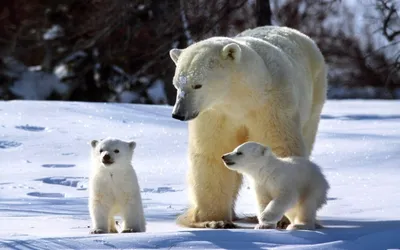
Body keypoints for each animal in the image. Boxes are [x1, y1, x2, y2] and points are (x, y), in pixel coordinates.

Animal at [169, 25, 328, 229]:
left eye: (197, 85)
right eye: (177, 84)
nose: (178, 114)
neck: (241, 98)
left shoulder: (270, 106)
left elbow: (279, 145)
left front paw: (281, 219)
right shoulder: (215, 114)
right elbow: (212, 152)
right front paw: (213, 220)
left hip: (315, 95)